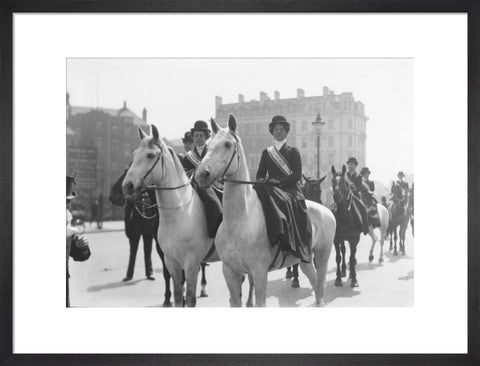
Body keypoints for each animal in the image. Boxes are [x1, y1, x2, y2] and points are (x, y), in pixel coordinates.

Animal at [124, 125, 223, 306]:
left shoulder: (191, 263)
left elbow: (190, 298)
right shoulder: (171, 261)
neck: (178, 213)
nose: (127, 186)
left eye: (150, 155)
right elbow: (178, 295)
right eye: (134, 154)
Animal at [194, 115, 334, 306]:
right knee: (315, 283)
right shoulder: (230, 271)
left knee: (320, 287)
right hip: (304, 258)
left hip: (322, 256)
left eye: (228, 144)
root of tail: (327, 210)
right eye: (207, 145)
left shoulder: (259, 271)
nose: (202, 174)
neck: (238, 220)